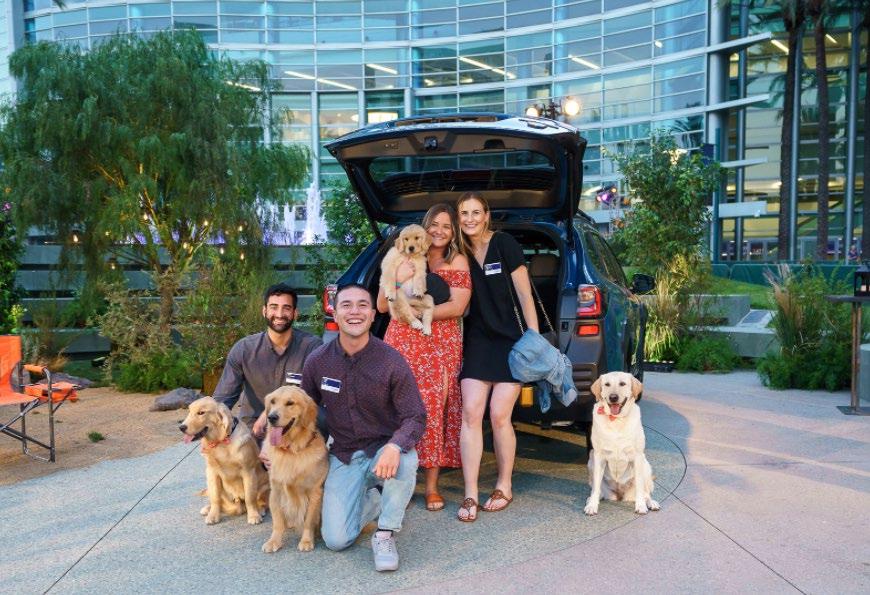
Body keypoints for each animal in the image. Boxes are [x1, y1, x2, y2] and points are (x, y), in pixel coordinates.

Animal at [179, 397, 269, 525]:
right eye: (189, 411)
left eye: (201, 413)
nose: (181, 427)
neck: (221, 442)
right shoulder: (212, 472)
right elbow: (215, 498)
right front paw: (213, 515)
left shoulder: (248, 472)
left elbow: (249, 497)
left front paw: (253, 515)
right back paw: (208, 508)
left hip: (265, 486)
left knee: (262, 500)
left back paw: (260, 509)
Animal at [260, 386, 329, 553]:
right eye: (272, 401)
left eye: (290, 403)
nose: (271, 417)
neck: (291, 450)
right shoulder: (276, 490)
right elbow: (278, 522)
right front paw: (274, 541)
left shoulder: (315, 492)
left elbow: (309, 521)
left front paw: (306, 541)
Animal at [584, 372, 660, 516]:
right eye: (607, 384)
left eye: (622, 384)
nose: (613, 397)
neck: (616, 421)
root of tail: (620, 495)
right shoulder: (598, 456)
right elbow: (595, 487)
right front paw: (592, 506)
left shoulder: (637, 456)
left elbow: (640, 488)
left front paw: (640, 506)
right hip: (591, 461)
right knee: (597, 490)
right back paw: (591, 499)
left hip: (645, 465)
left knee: (646, 492)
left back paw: (650, 503)